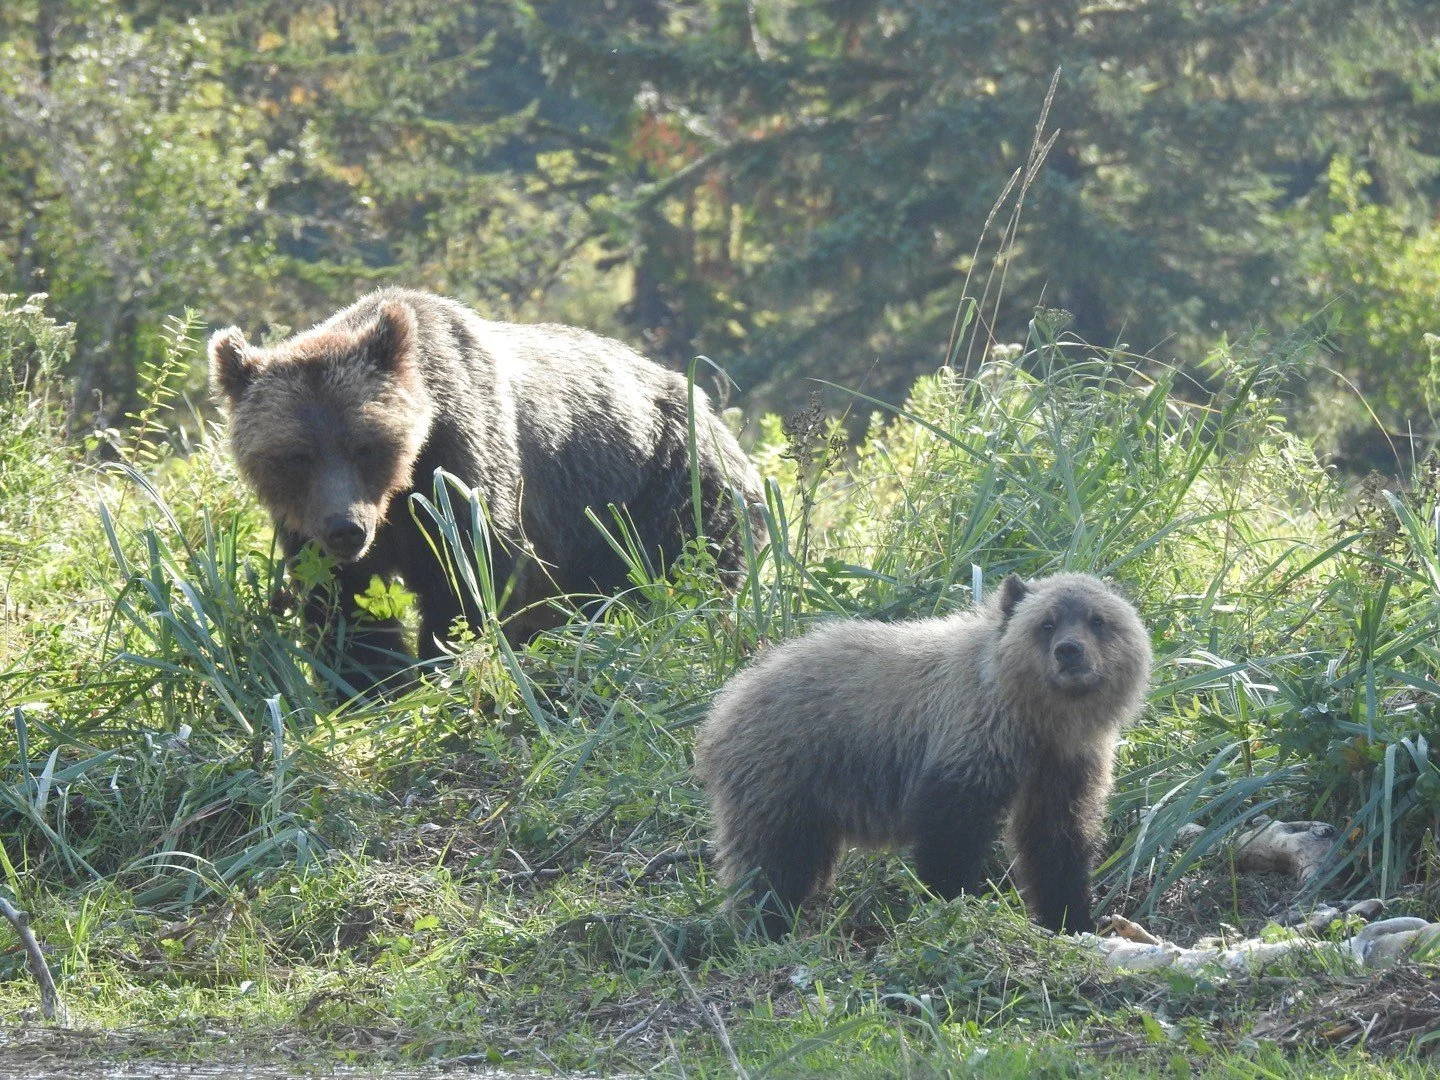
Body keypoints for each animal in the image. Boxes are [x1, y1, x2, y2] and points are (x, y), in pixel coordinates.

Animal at [208, 287, 764, 694]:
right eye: (296, 455)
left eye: (364, 445)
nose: (346, 529)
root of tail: (716, 418)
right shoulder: (306, 527)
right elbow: (341, 603)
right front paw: (369, 687)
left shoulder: (461, 463)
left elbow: (471, 571)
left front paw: (446, 666)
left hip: (664, 487)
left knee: (678, 575)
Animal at [693, 572, 1152, 939]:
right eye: (1047, 622)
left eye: (1098, 620)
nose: (1069, 651)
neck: (1041, 723)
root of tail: (724, 705)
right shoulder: (969, 741)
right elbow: (950, 833)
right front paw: (954, 900)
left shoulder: (1064, 767)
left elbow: (1056, 841)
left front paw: (1072, 918)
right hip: (784, 772)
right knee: (769, 861)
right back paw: (763, 925)